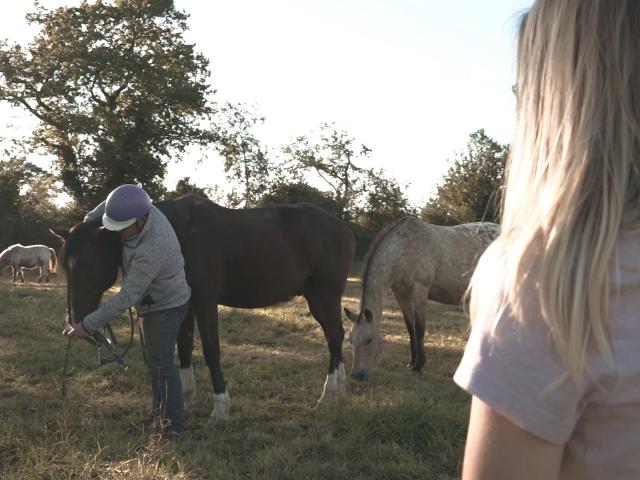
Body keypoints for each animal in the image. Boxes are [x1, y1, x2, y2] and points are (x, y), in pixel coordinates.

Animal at [51, 195, 356, 420]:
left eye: (87, 264)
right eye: (65, 267)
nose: (76, 323)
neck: (177, 234)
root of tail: (341, 227)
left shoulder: (205, 301)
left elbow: (210, 349)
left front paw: (220, 407)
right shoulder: (184, 305)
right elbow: (184, 348)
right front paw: (185, 400)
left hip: (326, 294)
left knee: (333, 337)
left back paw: (327, 395)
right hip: (315, 298)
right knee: (335, 336)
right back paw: (340, 388)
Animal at [344, 217, 500, 378]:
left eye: (369, 340)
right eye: (350, 339)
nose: (357, 376)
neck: (404, 249)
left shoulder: (420, 289)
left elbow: (419, 329)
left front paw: (419, 366)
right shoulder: (401, 293)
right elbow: (410, 327)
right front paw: (412, 362)